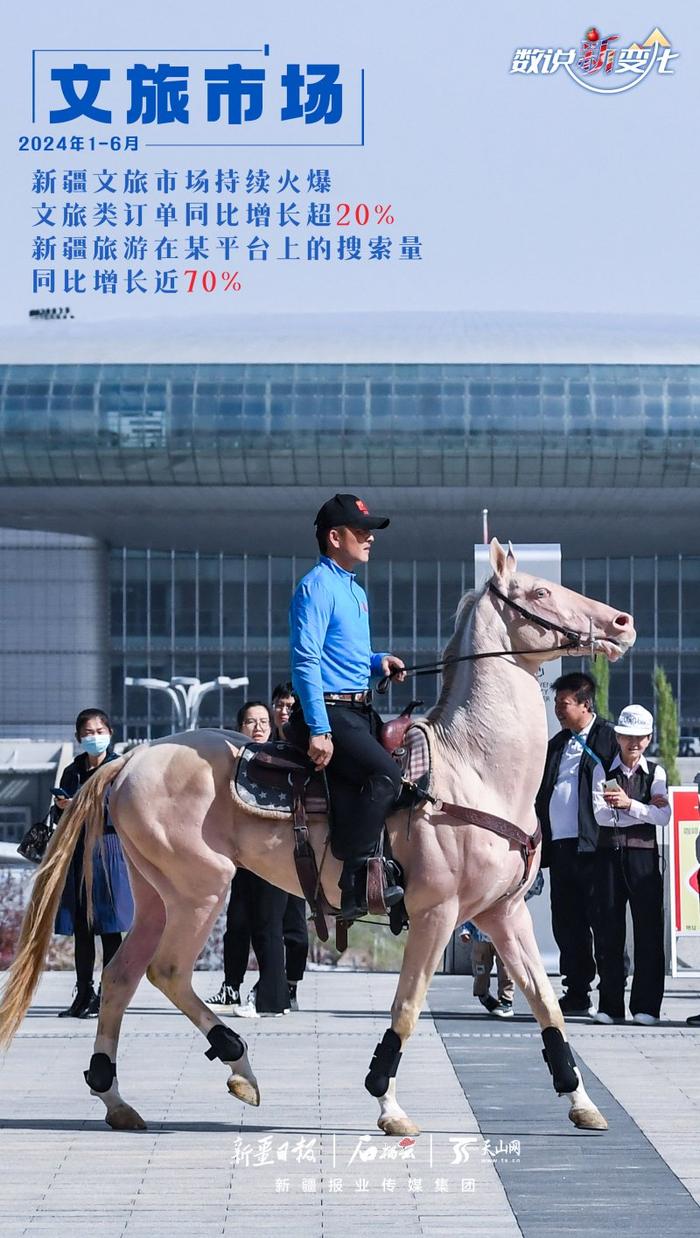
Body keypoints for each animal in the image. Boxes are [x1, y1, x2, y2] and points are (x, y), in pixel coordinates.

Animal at [0, 537, 634, 1134]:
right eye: (541, 592)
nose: (622, 623)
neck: (474, 768)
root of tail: (130, 757)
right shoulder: (437, 913)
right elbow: (407, 1008)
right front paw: (387, 1102)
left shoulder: (504, 912)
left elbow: (546, 1003)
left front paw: (580, 1100)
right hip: (201, 887)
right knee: (168, 971)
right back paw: (239, 1064)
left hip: (157, 894)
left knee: (120, 977)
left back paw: (115, 1097)